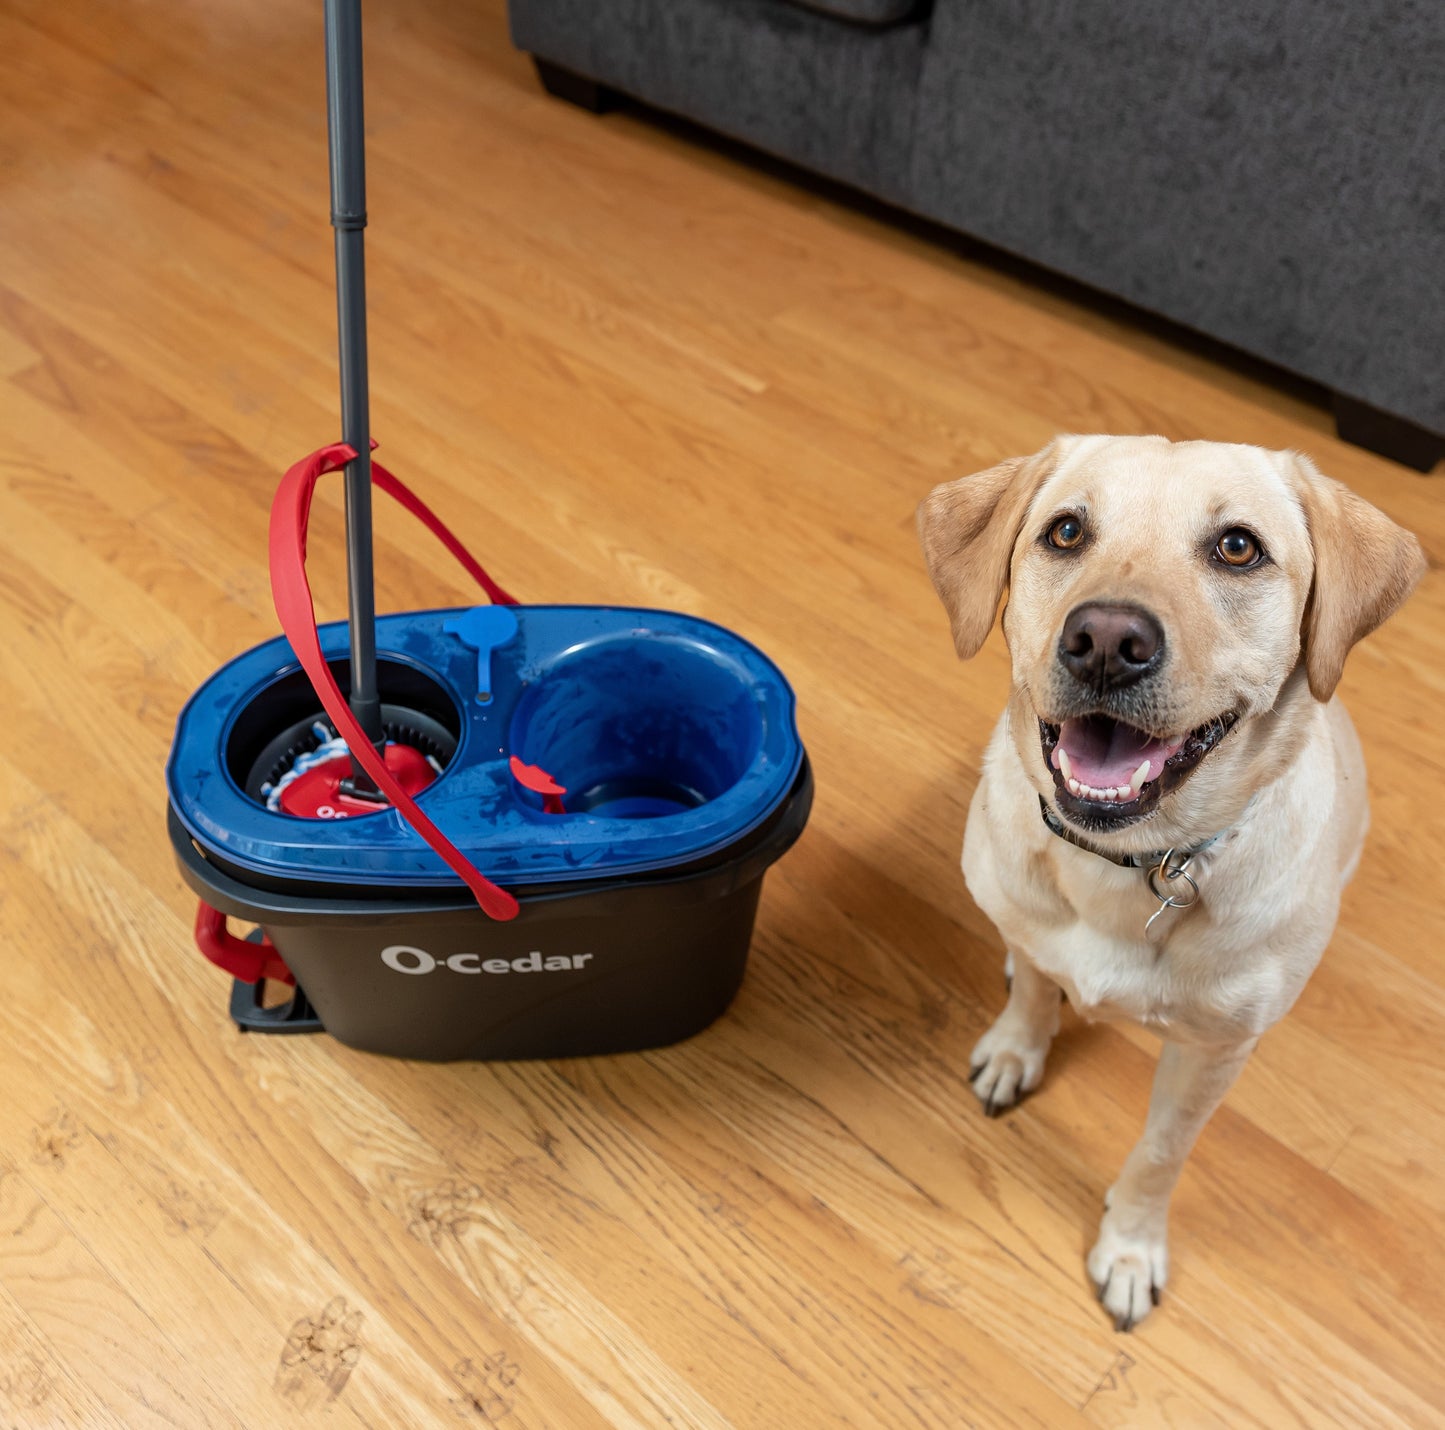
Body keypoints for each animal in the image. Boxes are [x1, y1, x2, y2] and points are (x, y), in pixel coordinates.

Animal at [913, 433, 1421, 1334]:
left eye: (1237, 547)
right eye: (1065, 531)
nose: (1104, 640)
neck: (1126, 862)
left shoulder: (1213, 1053)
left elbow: (1159, 1152)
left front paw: (1129, 1249)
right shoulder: (1028, 922)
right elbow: (1033, 989)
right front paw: (1015, 1045)